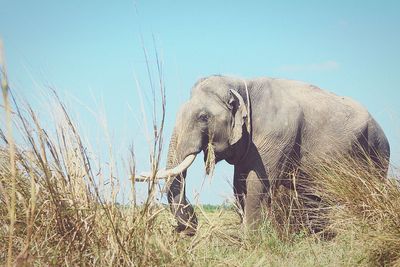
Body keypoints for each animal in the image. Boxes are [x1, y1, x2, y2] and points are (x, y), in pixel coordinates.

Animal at [138, 75, 390, 237]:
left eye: (203, 117)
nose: (185, 231)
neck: (241, 85)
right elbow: (239, 184)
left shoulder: (276, 134)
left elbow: (257, 182)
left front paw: (251, 241)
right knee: (315, 196)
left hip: (377, 154)